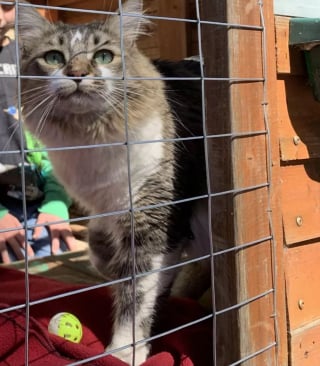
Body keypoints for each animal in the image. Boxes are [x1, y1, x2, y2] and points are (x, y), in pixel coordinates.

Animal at [17, 1, 210, 364]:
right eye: (54, 58)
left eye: (104, 56)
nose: (78, 73)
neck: (90, 140)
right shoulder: (108, 205)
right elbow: (99, 249)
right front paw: (109, 265)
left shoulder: (155, 219)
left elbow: (138, 295)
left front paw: (123, 350)